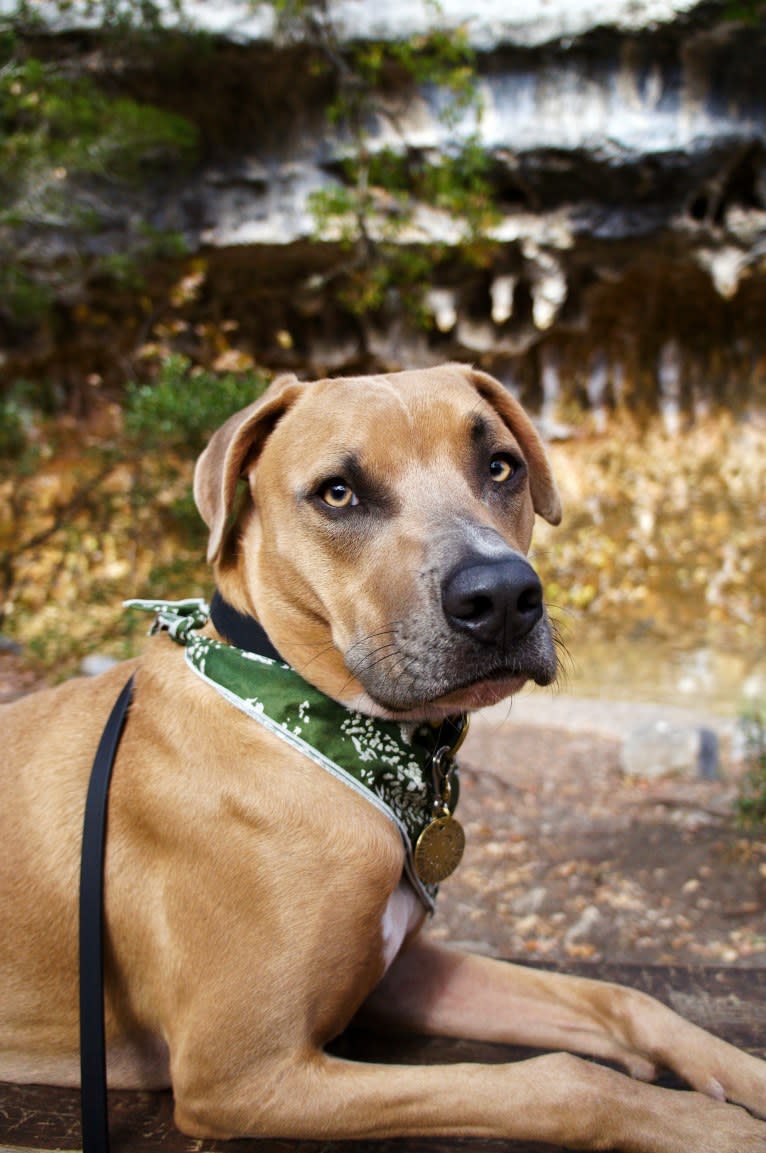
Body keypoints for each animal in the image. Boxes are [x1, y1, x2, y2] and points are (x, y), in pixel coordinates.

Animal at [1, 362, 765, 1153]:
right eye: (337, 492)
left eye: (501, 467)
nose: (502, 596)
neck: (310, 722)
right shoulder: (243, 1073)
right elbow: (559, 1079)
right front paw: (707, 1125)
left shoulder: (398, 974)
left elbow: (622, 997)